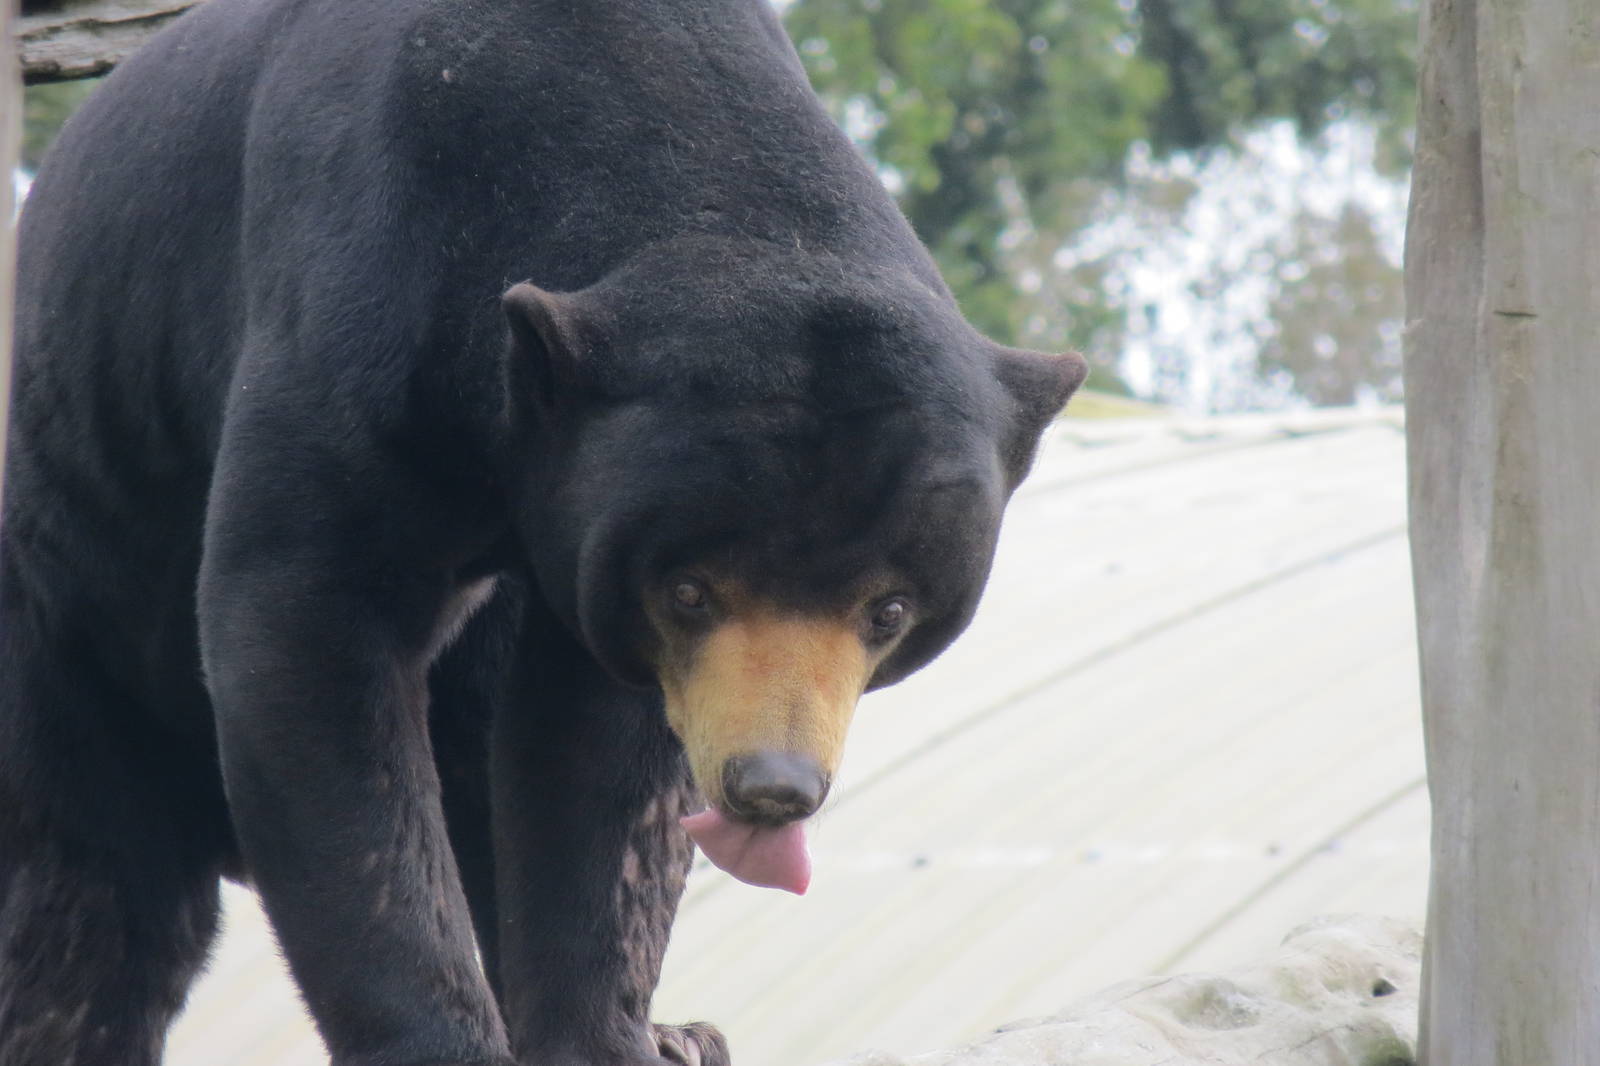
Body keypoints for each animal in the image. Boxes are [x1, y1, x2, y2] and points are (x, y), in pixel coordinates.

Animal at [0, 1, 1085, 1064]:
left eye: (889, 610)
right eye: (691, 590)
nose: (772, 788)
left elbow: (591, 761)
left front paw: (607, 1039)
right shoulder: (353, 309)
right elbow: (305, 645)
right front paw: (446, 1045)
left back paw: (684, 1034)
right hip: (65, 618)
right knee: (86, 915)